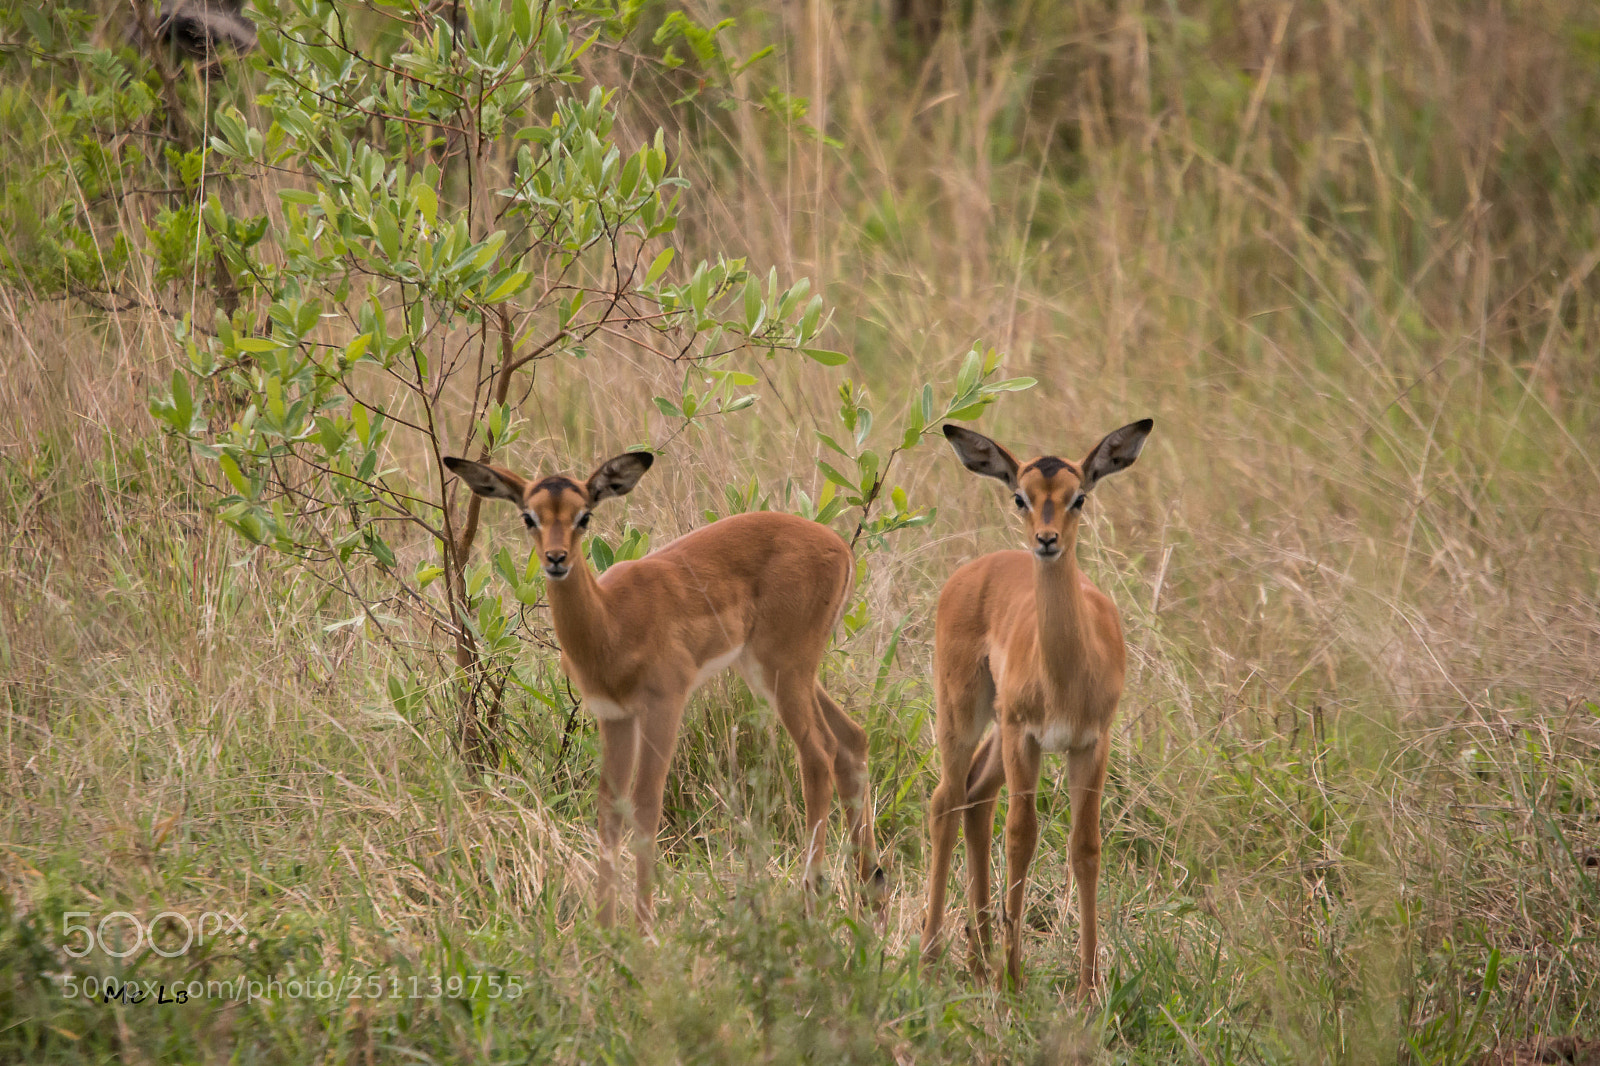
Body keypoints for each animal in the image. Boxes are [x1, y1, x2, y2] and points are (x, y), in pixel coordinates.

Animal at [444, 451, 885, 928]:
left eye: (584, 515)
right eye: (529, 516)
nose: (556, 559)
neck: (611, 622)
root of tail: (840, 546)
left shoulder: (664, 704)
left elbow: (646, 804)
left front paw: (643, 926)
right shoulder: (614, 715)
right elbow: (610, 808)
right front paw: (604, 927)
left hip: (783, 670)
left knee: (818, 755)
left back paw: (811, 902)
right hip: (775, 671)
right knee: (851, 740)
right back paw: (871, 895)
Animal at [921, 418, 1153, 996]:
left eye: (1079, 497)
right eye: (1020, 496)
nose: (1046, 541)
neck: (1068, 673)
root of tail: (975, 570)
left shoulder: (1091, 743)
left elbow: (1085, 847)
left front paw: (1089, 988)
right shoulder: (1026, 736)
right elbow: (1021, 836)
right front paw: (1015, 979)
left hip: (997, 733)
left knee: (975, 797)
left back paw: (978, 957)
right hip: (966, 714)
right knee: (946, 801)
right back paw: (934, 956)